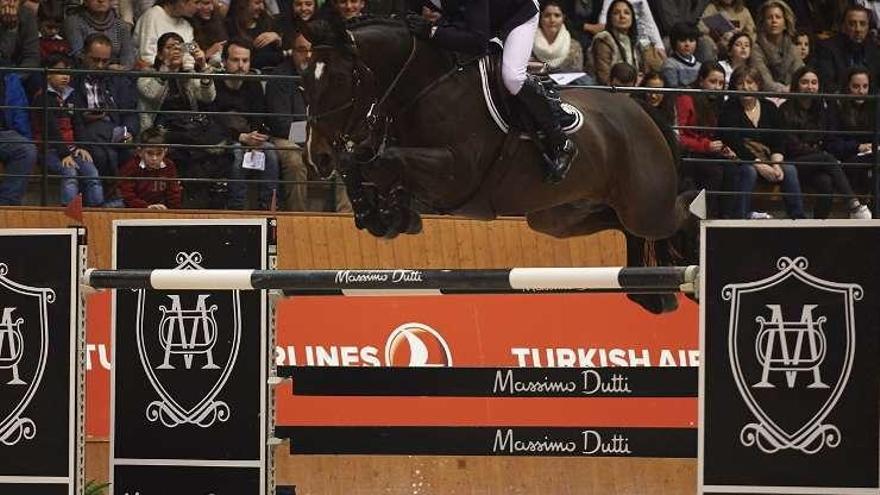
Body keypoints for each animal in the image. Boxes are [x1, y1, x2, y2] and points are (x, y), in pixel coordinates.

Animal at [300, 18, 696, 314]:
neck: (423, 88)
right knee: (621, 226)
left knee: (673, 218)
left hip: (644, 207)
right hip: (558, 217)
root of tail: (639, 108)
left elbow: (386, 161)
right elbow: (365, 165)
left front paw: (389, 214)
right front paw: (384, 216)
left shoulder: (456, 174)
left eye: (338, 79)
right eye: (304, 81)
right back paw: (651, 295)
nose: (317, 156)